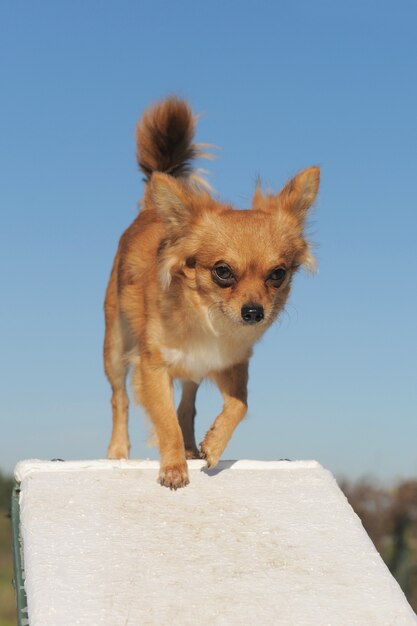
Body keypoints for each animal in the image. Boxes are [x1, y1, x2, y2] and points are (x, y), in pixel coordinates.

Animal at [104, 96, 318, 488]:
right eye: (222, 272)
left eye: (277, 274)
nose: (254, 312)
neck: (209, 321)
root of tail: (151, 209)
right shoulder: (152, 366)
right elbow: (164, 421)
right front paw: (173, 466)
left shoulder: (231, 364)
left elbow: (239, 405)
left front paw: (213, 444)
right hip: (114, 346)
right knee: (119, 398)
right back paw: (118, 450)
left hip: (192, 370)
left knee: (186, 405)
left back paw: (192, 445)